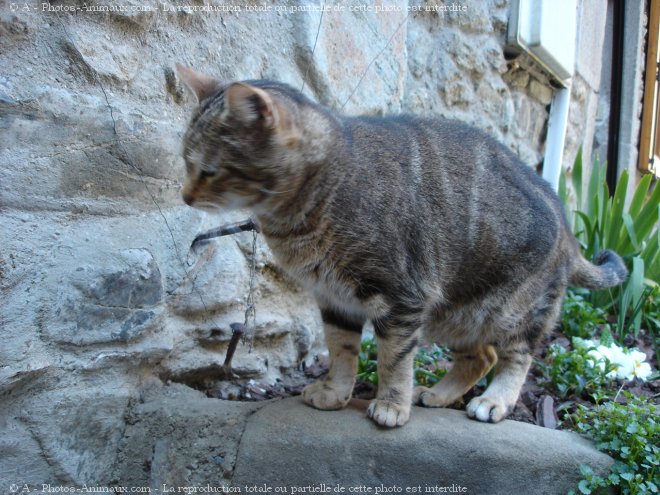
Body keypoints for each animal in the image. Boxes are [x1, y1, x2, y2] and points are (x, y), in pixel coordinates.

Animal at [173, 66, 628, 428]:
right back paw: (441, 394)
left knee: (517, 358)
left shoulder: (400, 298)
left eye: (209, 170)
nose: (184, 196)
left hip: (511, 312)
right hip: (455, 316)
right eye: (185, 162)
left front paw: (391, 405)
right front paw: (335, 393)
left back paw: (493, 401)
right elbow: (342, 353)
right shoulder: (336, 302)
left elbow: (393, 360)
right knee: (481, 357)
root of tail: (569, 231)